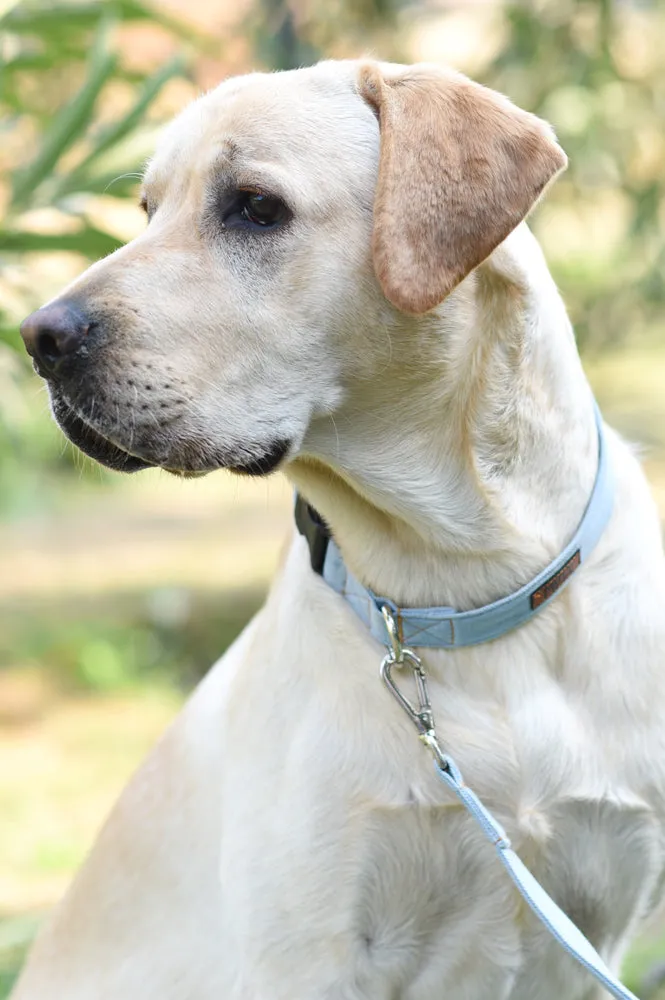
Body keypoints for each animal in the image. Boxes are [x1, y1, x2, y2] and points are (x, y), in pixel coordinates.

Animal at [13, 60, 664, 1000]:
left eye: (254, 206)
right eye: (147, 210)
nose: (39, 337)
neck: (463, 580)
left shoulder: (591, 932)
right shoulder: (309, 955)